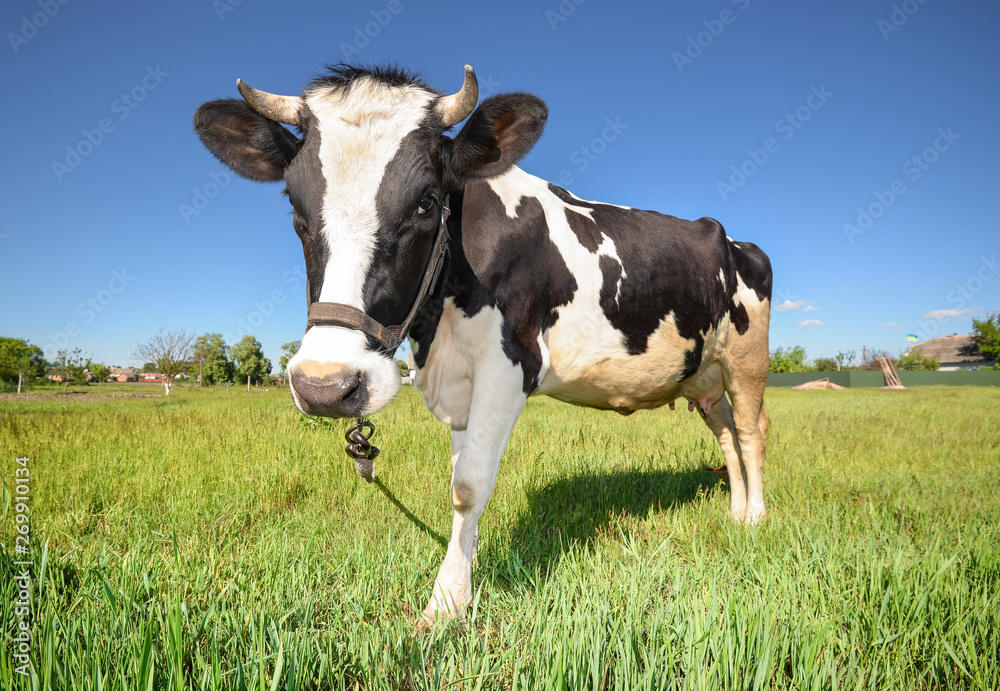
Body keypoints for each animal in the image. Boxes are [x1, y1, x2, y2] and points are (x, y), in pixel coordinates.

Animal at [195, 65, 772, 624]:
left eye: (426, 201)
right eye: (295, 206)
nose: (326, 386)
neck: (439, 327)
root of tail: (730, 237)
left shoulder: (509, 365)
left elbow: (469, 484)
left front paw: (445, 605)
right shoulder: (457, 384)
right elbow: (459, 479)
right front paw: (463, 585)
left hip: (748, 359)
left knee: (750, 432)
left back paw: (756, 518)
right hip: (701, 374)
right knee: (724, 431)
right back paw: (735, 510)